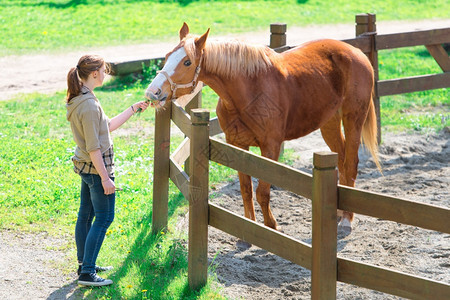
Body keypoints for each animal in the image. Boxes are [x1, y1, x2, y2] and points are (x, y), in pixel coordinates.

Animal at [144, 23, 380, 234]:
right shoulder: (237, 145)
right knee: (341, 161)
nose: (153, 92)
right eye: (167, 56)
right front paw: (249, 228)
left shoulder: (270, 148)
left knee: (351, 164)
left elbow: (263, 192)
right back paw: (340, 214)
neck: (250, 90)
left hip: (353, 120)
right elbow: (246, 189)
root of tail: (357, 52)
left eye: (187, 61)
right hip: (329, 123)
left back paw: (347, 220)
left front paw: (271, 226)